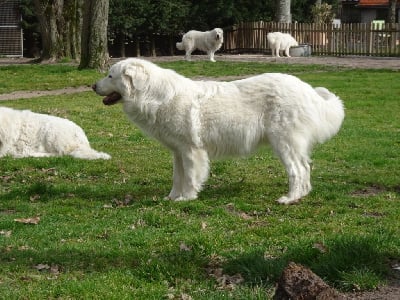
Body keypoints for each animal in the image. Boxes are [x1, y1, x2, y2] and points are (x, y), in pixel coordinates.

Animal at [92, 57, 346, 205]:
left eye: (110, 75)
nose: (93, 86)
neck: (154, 95)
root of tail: (306, 89)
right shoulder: (177, 151)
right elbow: (177, 176)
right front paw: (172, 197)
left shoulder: (191, 150)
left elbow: (191, 176)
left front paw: (187, 198)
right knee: (305, 168)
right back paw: (302, 195)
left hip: (284, 143)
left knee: (297, 169)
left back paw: (290, 198)